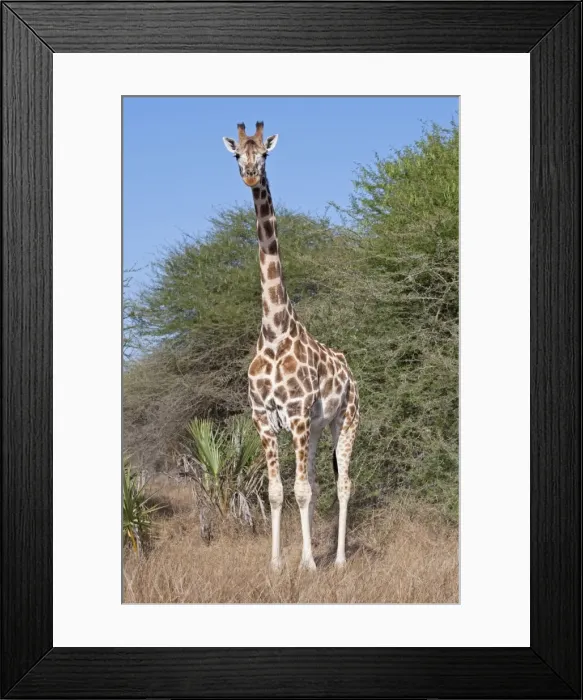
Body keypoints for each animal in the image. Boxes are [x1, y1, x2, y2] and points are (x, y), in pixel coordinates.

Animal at [222, 121, 359, 570]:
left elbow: (299, 490)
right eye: (236, 154)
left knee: (343, 483)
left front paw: (310, 565)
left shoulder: (297, 415)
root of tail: (351, 371)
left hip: (345, 420)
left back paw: (338, 561)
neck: (275, 330)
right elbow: (278, 492)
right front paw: (279, 564)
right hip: (316, 429)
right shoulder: (263, 420)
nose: (250, 174)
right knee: (315, 482)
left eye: (265, 153)